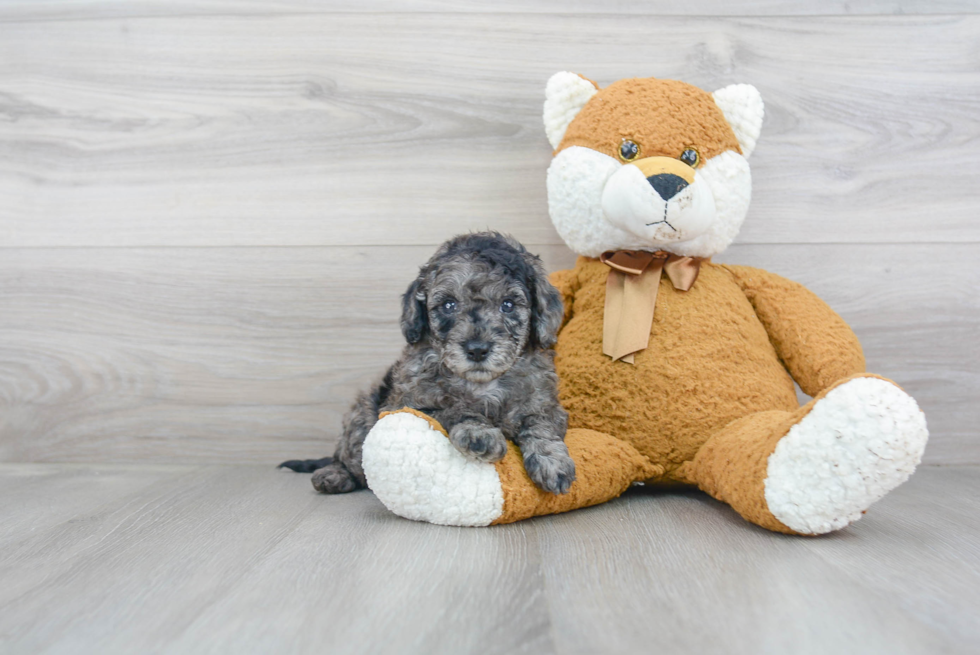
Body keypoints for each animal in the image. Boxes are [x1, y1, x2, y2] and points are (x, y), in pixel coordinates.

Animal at [280, 233, 576, 494]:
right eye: (448, 305)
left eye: (508, 305)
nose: (477, 349)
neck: (482, 384)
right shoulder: (410, 404)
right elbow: (454, 409)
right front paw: (479, 434)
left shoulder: (545, 404)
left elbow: (540, 424)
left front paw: (553, 462)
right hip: (362, 414)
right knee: (350, 460)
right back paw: (334, 475)